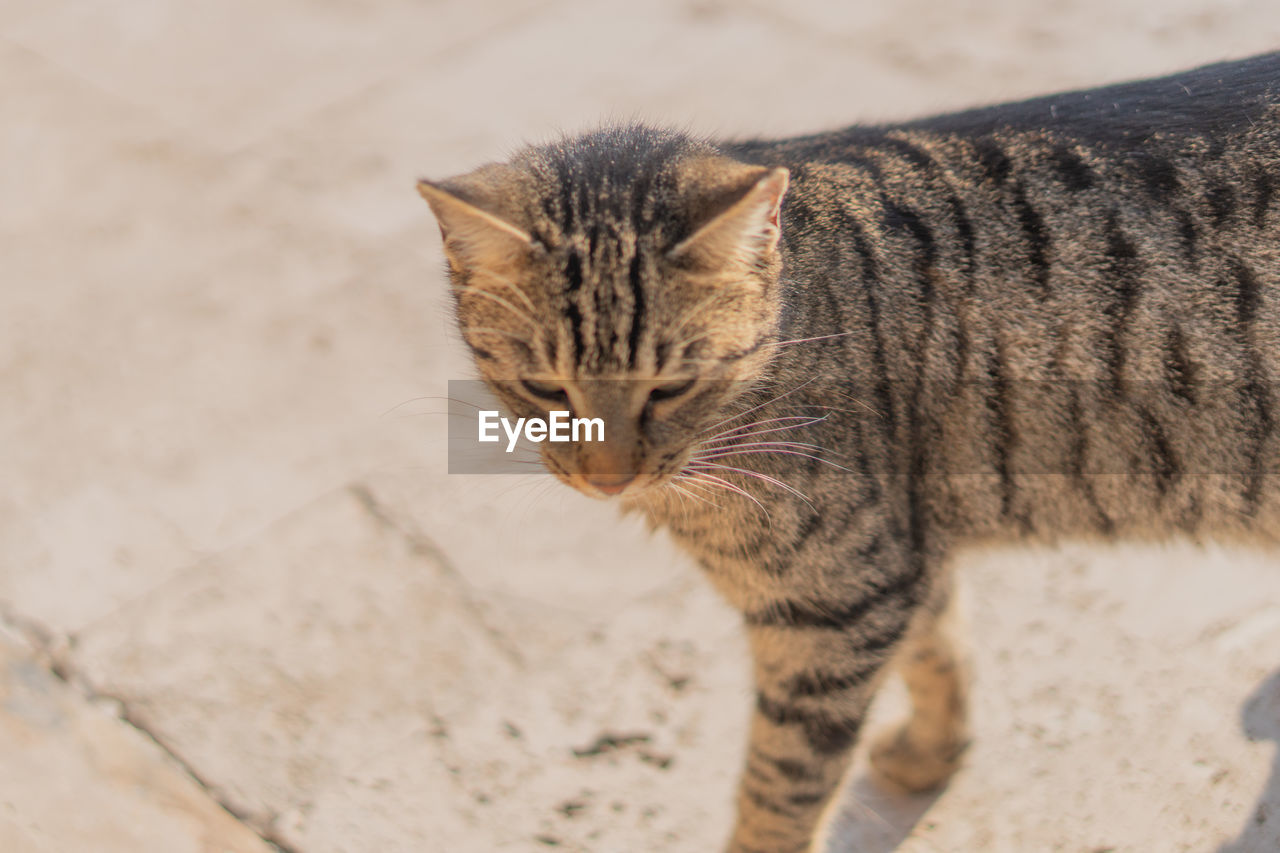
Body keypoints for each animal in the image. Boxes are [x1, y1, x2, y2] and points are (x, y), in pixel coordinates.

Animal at [417, 53, 1280, 850]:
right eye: (545, 387)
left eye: (671, 386)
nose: (608, 476)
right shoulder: (902, 547)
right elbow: (939, 646)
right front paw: (933, 752)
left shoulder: (834, 602)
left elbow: (780, 785)